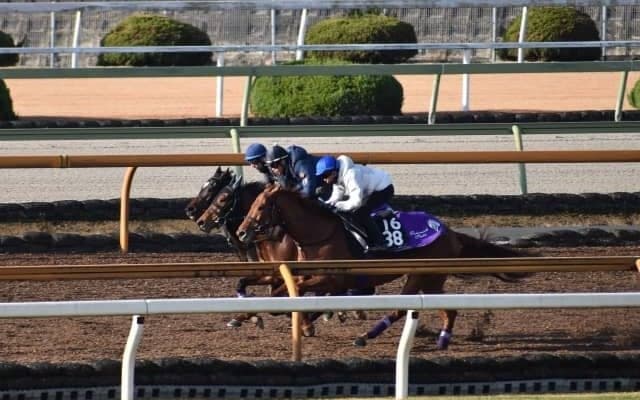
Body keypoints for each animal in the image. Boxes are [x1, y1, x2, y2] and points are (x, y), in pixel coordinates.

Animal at [236, 185, 533, 349]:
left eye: (260, 207)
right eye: (252, 204)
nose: (241, 232)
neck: (319, 234)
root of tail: (449, 231)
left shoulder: (331, 279)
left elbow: (293, 293)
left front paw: (299, 321)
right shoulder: (303, 273)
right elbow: (270, 287)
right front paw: (247, 314)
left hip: (422, 276)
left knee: (403, 308)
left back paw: (367, 336)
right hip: (431, 278)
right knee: (446, 308)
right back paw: (441, 339)